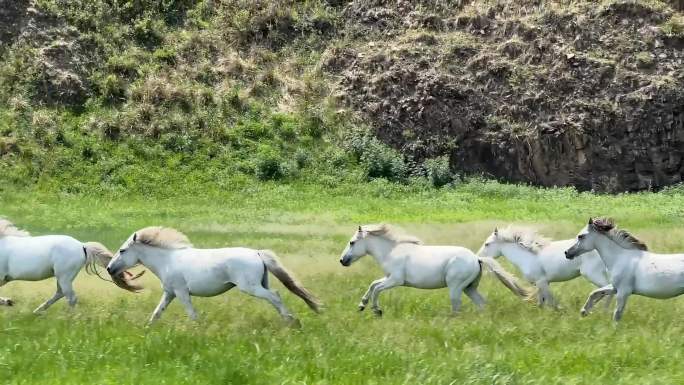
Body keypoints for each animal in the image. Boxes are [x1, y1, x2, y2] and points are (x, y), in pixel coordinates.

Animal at [0, 218, 141, 310]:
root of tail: (82, 245)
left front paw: (8, 301)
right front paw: (8, 301)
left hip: (64, 276)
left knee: (70, 297)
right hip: (62, 276)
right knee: (61, 293)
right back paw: (38, 311)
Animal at [106, 226, 320, 322]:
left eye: (122, 250)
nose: (109, 268)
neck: (167, 261)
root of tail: (257, 253)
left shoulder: (181, 293)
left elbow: (192, 315)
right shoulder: (170, 293)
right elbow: (156, 314)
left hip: (251, 287)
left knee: (275, 296)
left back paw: (292, 322)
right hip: (261, 283)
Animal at [340, 224, 532, 314]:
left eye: (352, 242)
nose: (342, 260)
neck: (391, 251)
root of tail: (476, 258)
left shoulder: (395, 280)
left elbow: (376, 289)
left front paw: (377, 310)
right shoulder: (389, 277)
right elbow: (373, 284)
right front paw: (361, 306)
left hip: (456, 287)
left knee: (457, 306)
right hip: (469, 288)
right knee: (481, 302)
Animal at [478, 226, 612, 308]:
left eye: (487, 244)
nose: (478, 258)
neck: (527, 257)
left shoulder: (541, 282)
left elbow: (551, 302)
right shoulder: (542, 284)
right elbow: (542, 303)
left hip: (592, 274)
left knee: (607, 289)